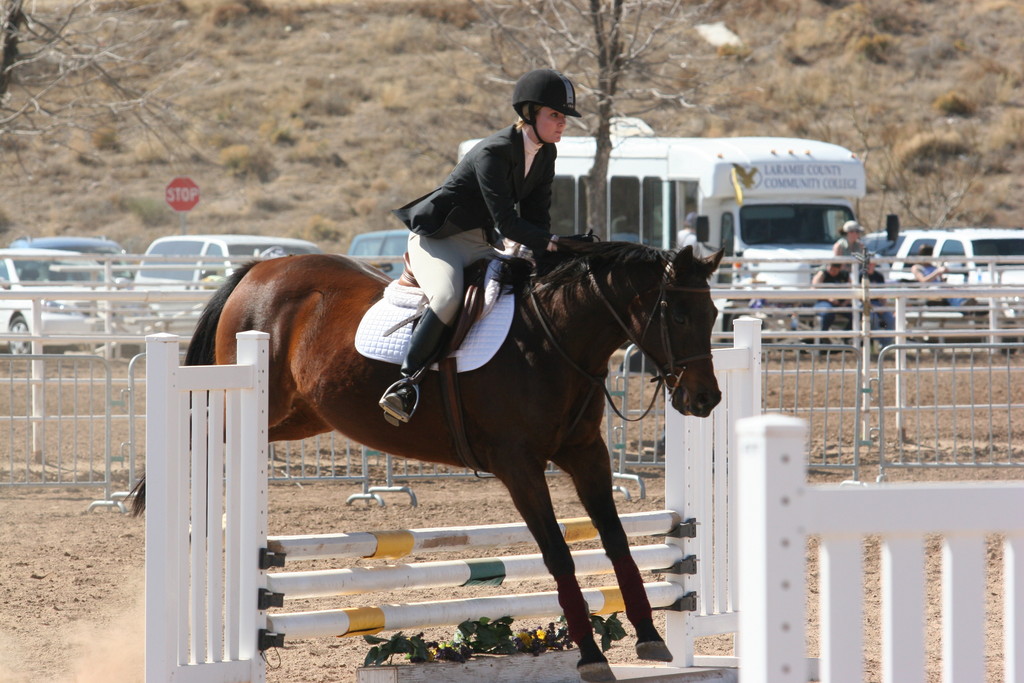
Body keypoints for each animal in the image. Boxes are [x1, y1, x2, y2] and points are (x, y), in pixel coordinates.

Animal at [132, 241, 724, 683]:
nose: (705, 400)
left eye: (715, 313)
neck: (555, 339)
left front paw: (650, 637)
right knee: (197, 441)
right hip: (252, 404)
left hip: (299, 416)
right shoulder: (519, 465)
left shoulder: (586, 453)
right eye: (677, 312)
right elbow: (558, 553)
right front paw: (592, 655)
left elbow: (617, 539)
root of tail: (260, 268)